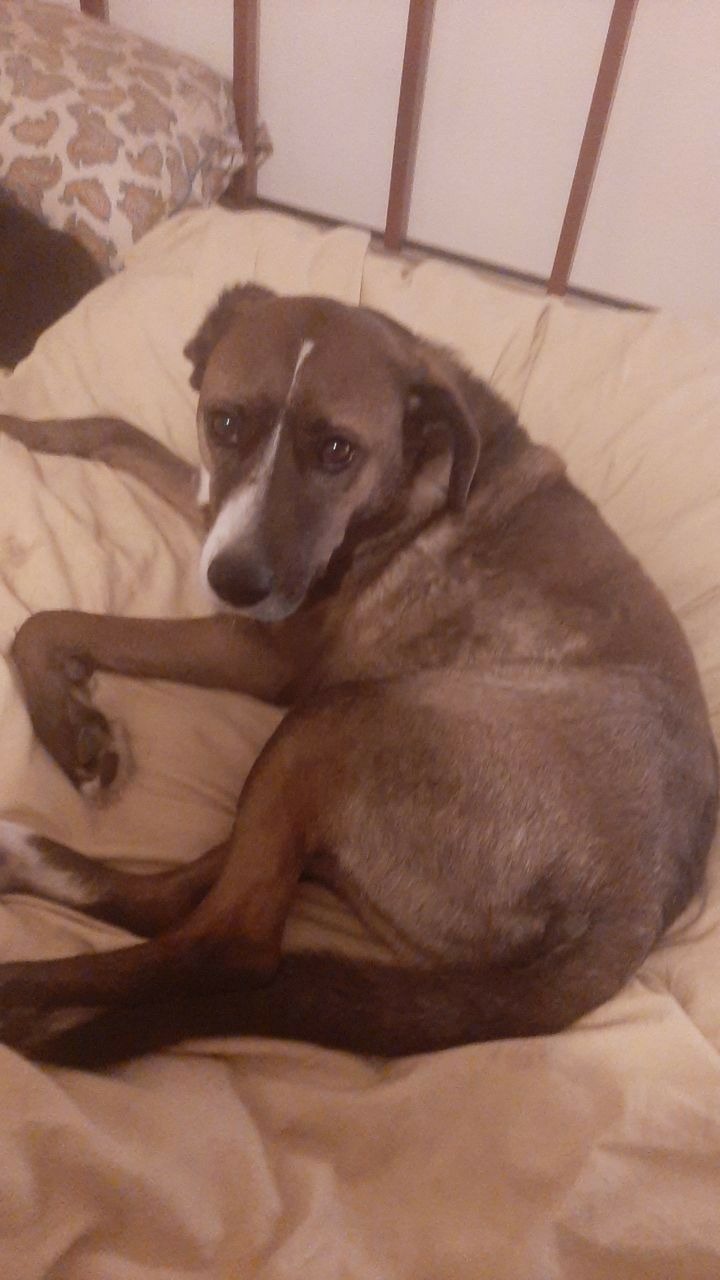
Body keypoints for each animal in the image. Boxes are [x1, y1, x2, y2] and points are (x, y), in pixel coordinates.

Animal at [0, 285, 716, 1068]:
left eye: (337, 450)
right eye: (225, 423)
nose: (235, 582)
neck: (412, 469)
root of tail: (635, 907)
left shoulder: (258, 652)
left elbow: (48, 624)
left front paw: (64, 724)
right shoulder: (217, 515)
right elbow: (115, 431)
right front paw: (24, 425)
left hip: (338, 719)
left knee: (227, 941)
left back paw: (23, 983)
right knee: (190, 892)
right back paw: (27, 863)